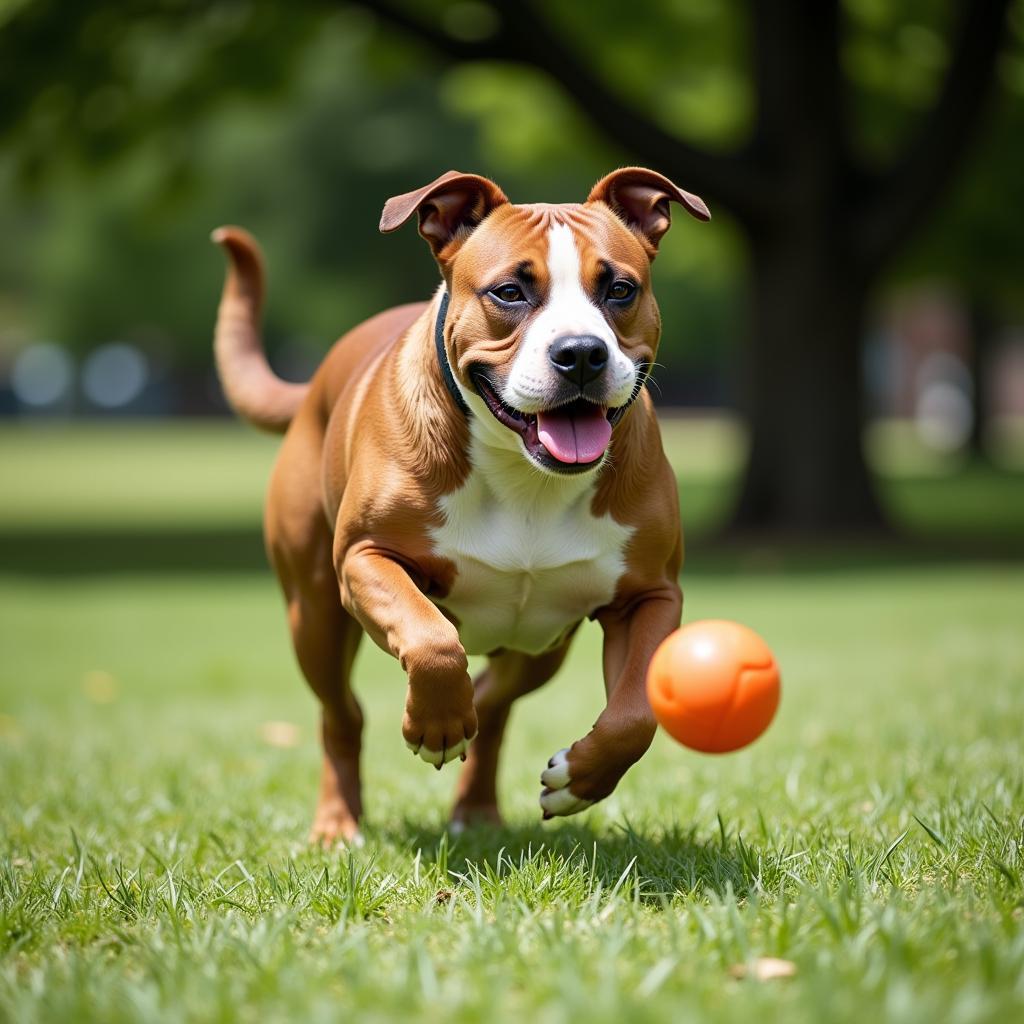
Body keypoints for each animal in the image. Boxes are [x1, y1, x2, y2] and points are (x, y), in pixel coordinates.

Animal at [214, 165, 712, 839]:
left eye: (619, 289)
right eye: (509, 292)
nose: (581, 352)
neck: (526, 477)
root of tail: (316, 381)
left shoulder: (650, 595)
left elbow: (636, 712)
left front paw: (580, 780)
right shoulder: (366, 559)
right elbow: (431, 640)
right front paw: (436, 725)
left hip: (542, 642)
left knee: (496, 698)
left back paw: (476, 806)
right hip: (314, 613)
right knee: (342, 711)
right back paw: (340, 822)